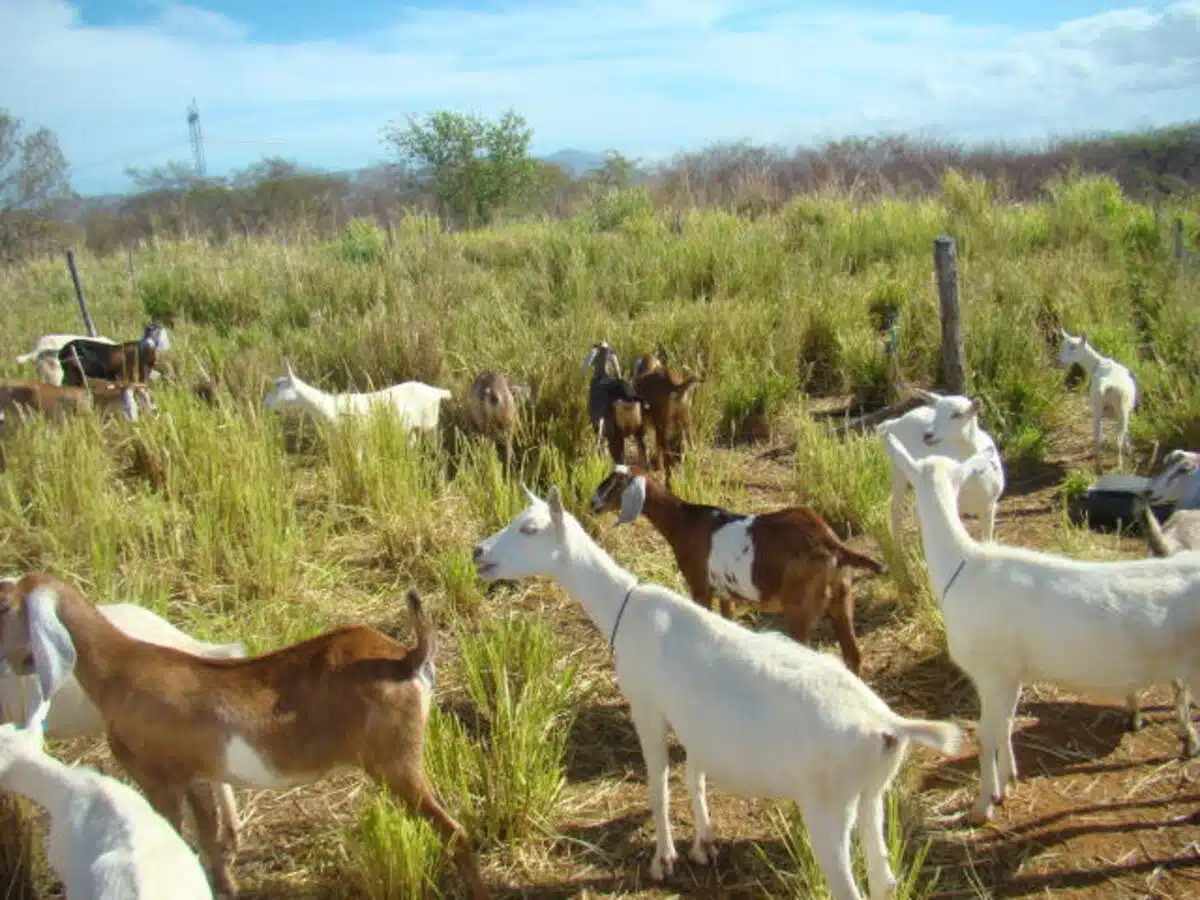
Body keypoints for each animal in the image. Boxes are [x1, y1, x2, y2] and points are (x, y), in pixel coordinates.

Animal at [262, 361, 453, 439]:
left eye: (278, 385)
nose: (265, 402)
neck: (326, 405)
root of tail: (438, 392)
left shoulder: (355, 438)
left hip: (429, 425)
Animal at [590, 465, 885, 674]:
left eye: (615, 484)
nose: (593, 503)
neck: (684, 523)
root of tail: (832, 544)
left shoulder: (701, 588)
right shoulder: (725, 593)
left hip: (800, 607)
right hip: (842, 597)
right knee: (853, 656)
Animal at [875, 388, 1005, 543]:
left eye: (957, 414)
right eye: (936, 412)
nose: (928, 435)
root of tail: (896, 421)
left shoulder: (989, 508)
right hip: (899, 468)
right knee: (896, 509)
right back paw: (897, 545)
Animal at [883, 433, 1200, 824]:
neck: (963, 564)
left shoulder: (990, 673)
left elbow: (986, 734)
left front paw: (981, 807)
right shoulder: (1012, 674)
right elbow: (1006, 725)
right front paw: (1006, 783)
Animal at [1056, 329, 1137, 469]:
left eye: (1073, 347)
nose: (1059, 361)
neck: (1097, 363)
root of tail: (1106, 384)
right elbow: (1127, 431)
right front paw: (1130, 451)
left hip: (1097, 407)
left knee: (1097, 435)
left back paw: (1098, 465)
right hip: (1121, 408)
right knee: (1118, 439)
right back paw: (1119, 465)